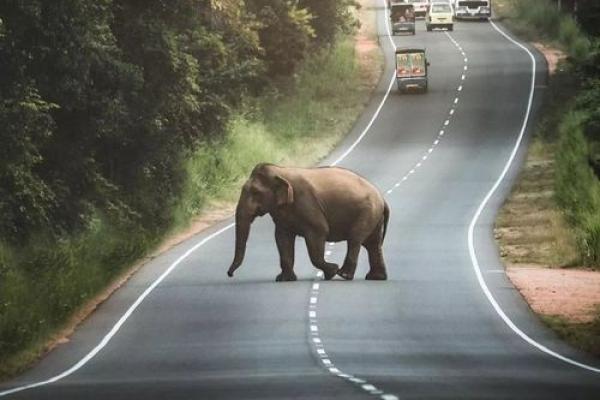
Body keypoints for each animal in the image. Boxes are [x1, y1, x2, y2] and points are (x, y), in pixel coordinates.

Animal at [225, 162, 390, 282]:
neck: (281, 171)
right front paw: (284, 279)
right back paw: (376, 278)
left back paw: (343, 274)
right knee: (372, 244)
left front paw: (332, 271)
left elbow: (319, 232)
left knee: (355, 239)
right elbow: (282, 238)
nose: (230, 274)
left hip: (367, 212)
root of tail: (382, 199)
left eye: (255, 193)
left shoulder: (307, 203)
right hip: (373, 216)